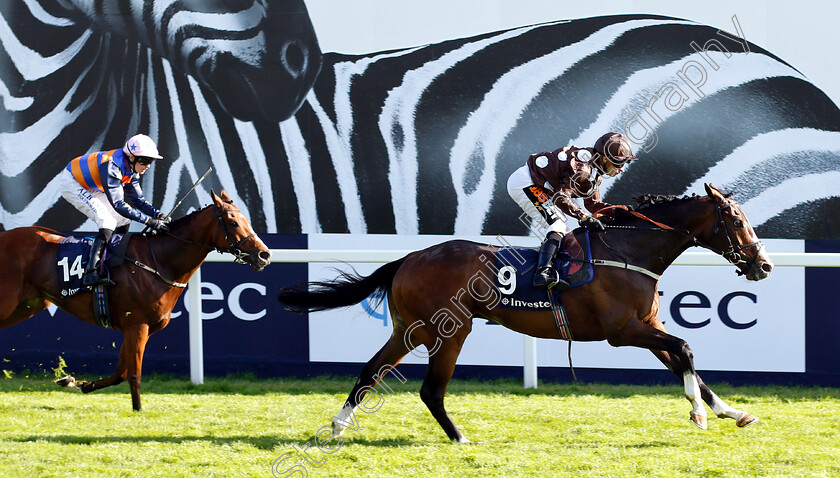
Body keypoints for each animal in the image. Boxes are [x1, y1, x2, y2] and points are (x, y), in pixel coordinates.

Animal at [0, 190, 270, 410]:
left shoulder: (137, 328)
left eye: (247, 220)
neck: (158, 263)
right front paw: (138, 411)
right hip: (9, 301)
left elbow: (120, 372)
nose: (264, 254)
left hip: (27, 306)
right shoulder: (137, 325)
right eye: (233, 222)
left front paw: (77, 383)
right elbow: (134, 374)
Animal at [280, 183, 776, 440]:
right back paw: (459, 437)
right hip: (449, 331)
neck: (629, 251)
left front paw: (731, 411)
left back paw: (339, 425)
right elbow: (687, 347)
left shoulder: (647, 326)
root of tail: (410, 258)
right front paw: (698, 414)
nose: (763, 264)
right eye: (736, 220)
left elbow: (686, 363)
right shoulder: (623, 331)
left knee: (371, 369)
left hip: (409, 329)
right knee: (430, 389)